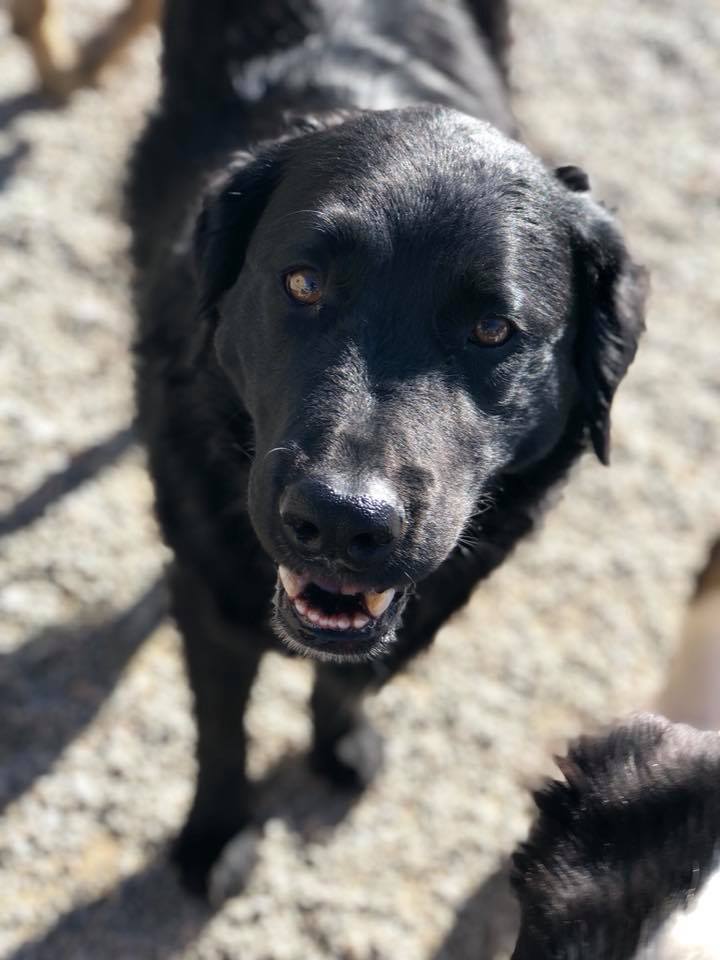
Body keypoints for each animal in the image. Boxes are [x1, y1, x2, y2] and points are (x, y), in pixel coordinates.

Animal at [127, 0, 647, 893]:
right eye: (303, 284)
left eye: (492, 329)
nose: (342, 520)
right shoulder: (204, 584)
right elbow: (222, 728)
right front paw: (216, 836)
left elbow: (347, 684)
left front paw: (339, 746)